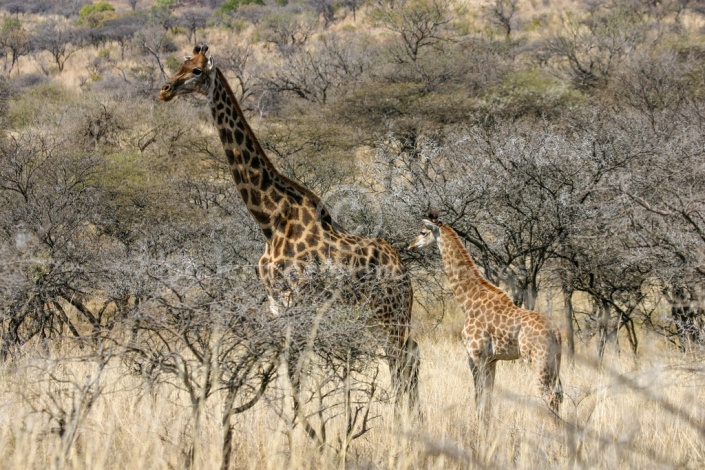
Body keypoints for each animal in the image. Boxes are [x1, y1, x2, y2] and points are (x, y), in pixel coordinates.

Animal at [160, 46, 418, 410]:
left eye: (197, 71)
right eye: (181, 64)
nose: (165, 90)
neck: (271, 221)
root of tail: (405, 274)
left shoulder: (297, 301)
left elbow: (295, 370)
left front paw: (299, 423)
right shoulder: (276, 304)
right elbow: (287, 369)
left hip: (389, 316)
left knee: (400, 362)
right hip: (379, 317)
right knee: (411, 356)